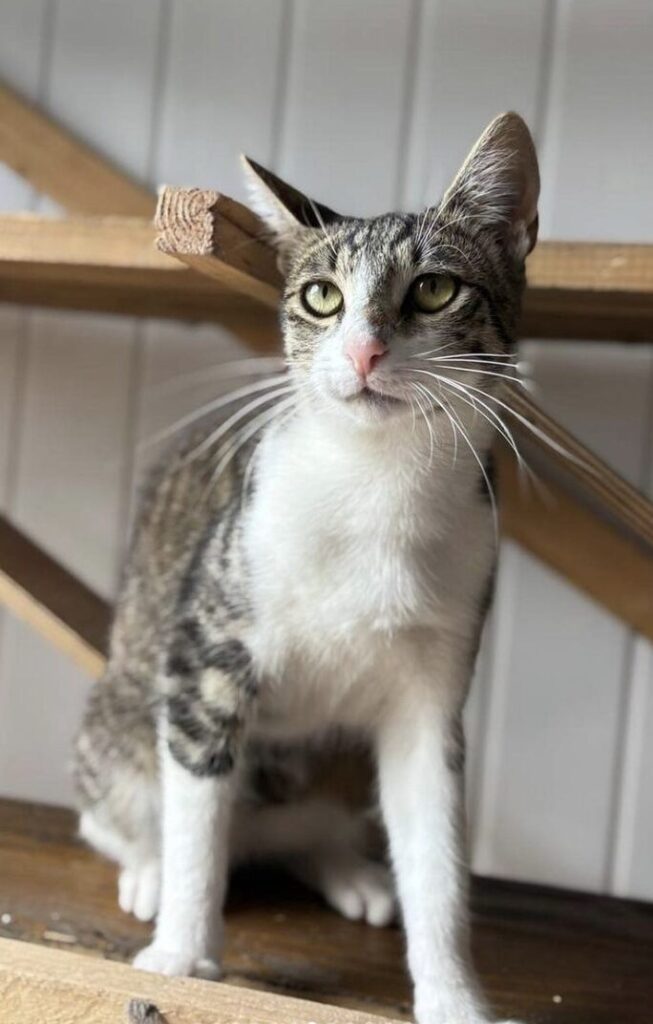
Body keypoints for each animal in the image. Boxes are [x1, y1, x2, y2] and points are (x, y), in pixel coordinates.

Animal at [74, 112, 540, 1024]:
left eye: (435, 289)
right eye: (320, 296)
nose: (362, 353)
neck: (377, 484)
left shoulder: (435, 684)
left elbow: (436, 848)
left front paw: (453, 995)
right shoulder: (205, 649)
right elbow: (195, 807)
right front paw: (180, 957)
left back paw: (348, 869)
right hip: (117, 714)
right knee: (134, 801)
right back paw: (149, 868)